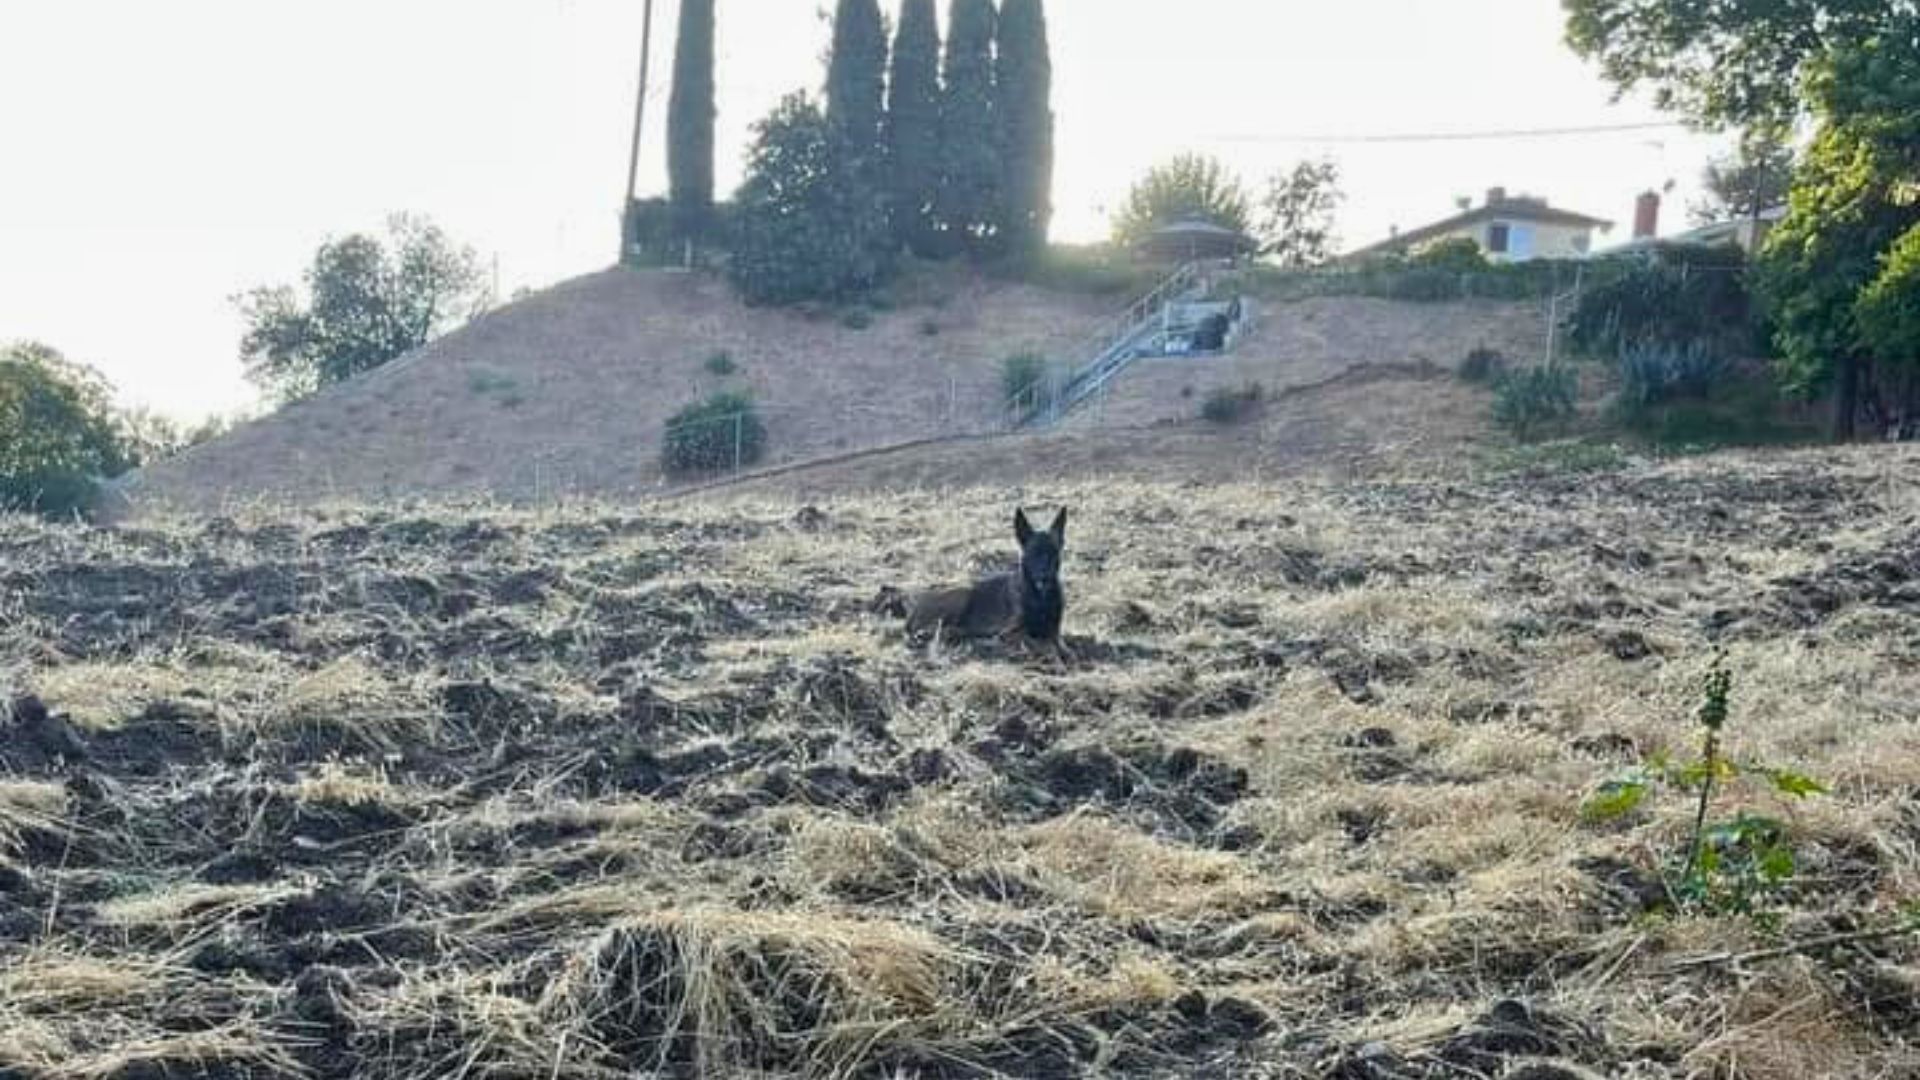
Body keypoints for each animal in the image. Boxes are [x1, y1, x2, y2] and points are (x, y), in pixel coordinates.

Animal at [910, 507, 1075, 645]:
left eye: (1053, 553)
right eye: (1033, 553)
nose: (1045, 577)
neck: (1041, 600)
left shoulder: (1055, 631)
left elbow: (1061, 645)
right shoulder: (1010, 632)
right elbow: (1039, 642)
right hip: (964, 592)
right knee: (927, 628)